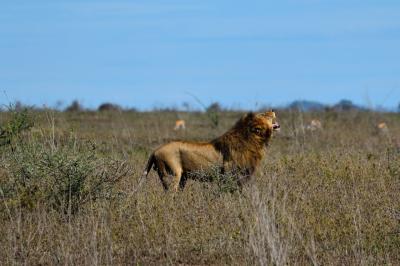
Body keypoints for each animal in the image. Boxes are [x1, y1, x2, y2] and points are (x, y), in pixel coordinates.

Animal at [136, 111, 280, 192]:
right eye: (264, 114)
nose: (273, 109)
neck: (255, 140)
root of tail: (155, 150)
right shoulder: (231, 174)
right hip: (173, 174)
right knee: (170, 193)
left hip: (182, 178)